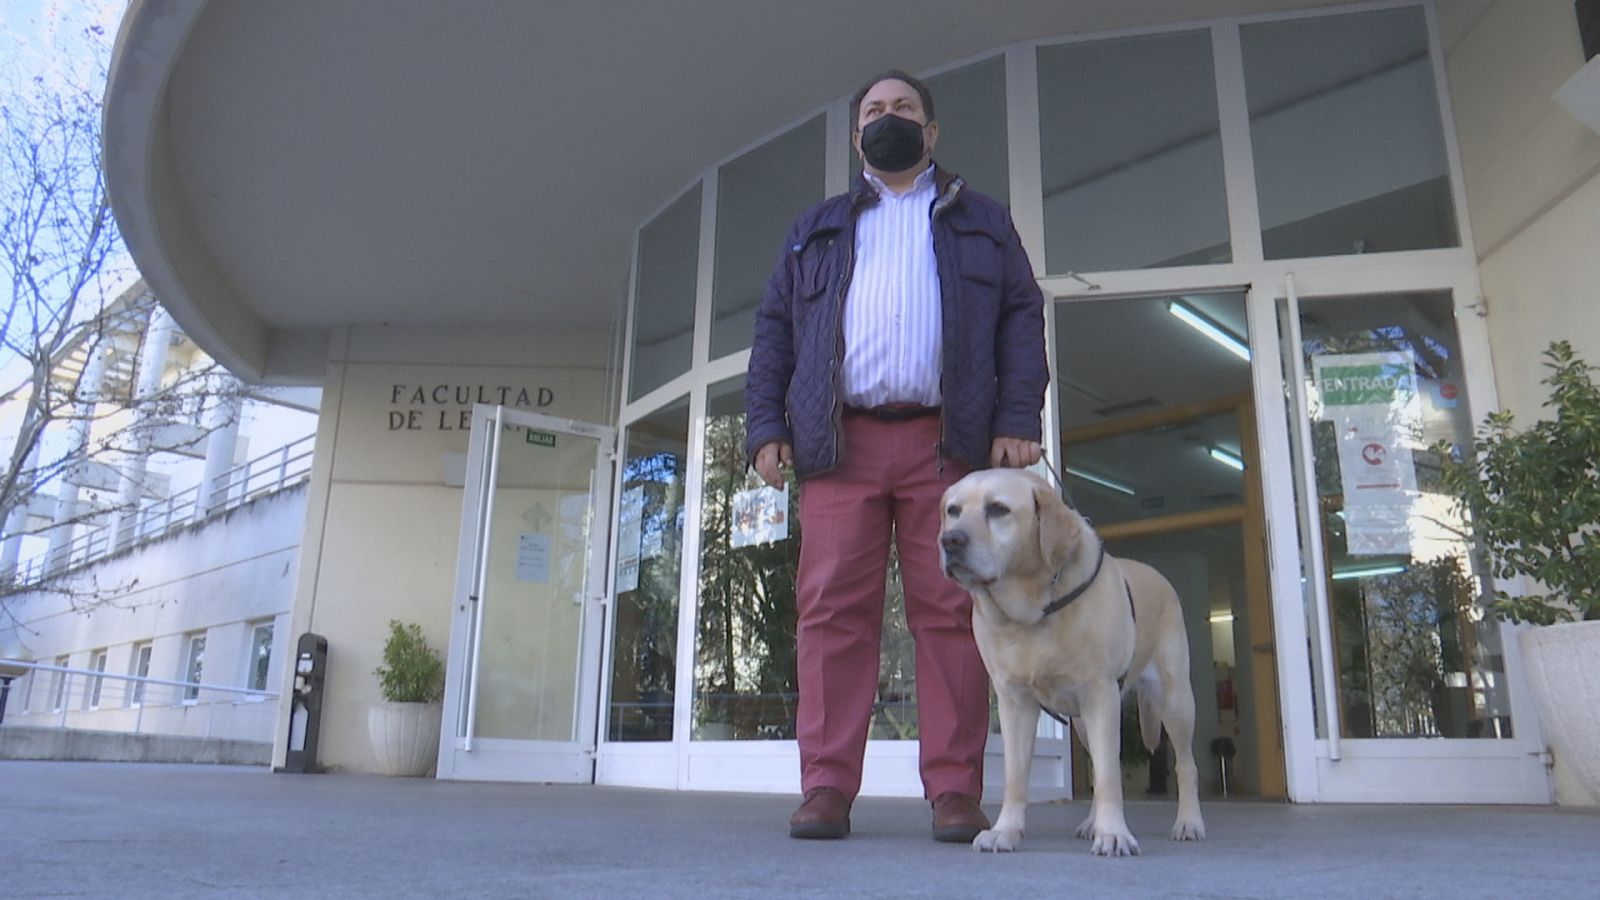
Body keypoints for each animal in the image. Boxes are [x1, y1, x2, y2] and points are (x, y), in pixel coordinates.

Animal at [934, 464, 1203, 851]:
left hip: (1175, 700)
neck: (1032, 611)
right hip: (1083, 724)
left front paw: (1114, 834)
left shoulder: (1100, 695)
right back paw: (1092, 822)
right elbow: (1016, 776)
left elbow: (1109, 777)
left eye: (998, 509)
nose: (950, 541)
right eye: (953, 510)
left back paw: (1189, 822)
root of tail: (1156, 573)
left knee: (1185, 764)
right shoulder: (1015, 702)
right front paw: (1005, 830)